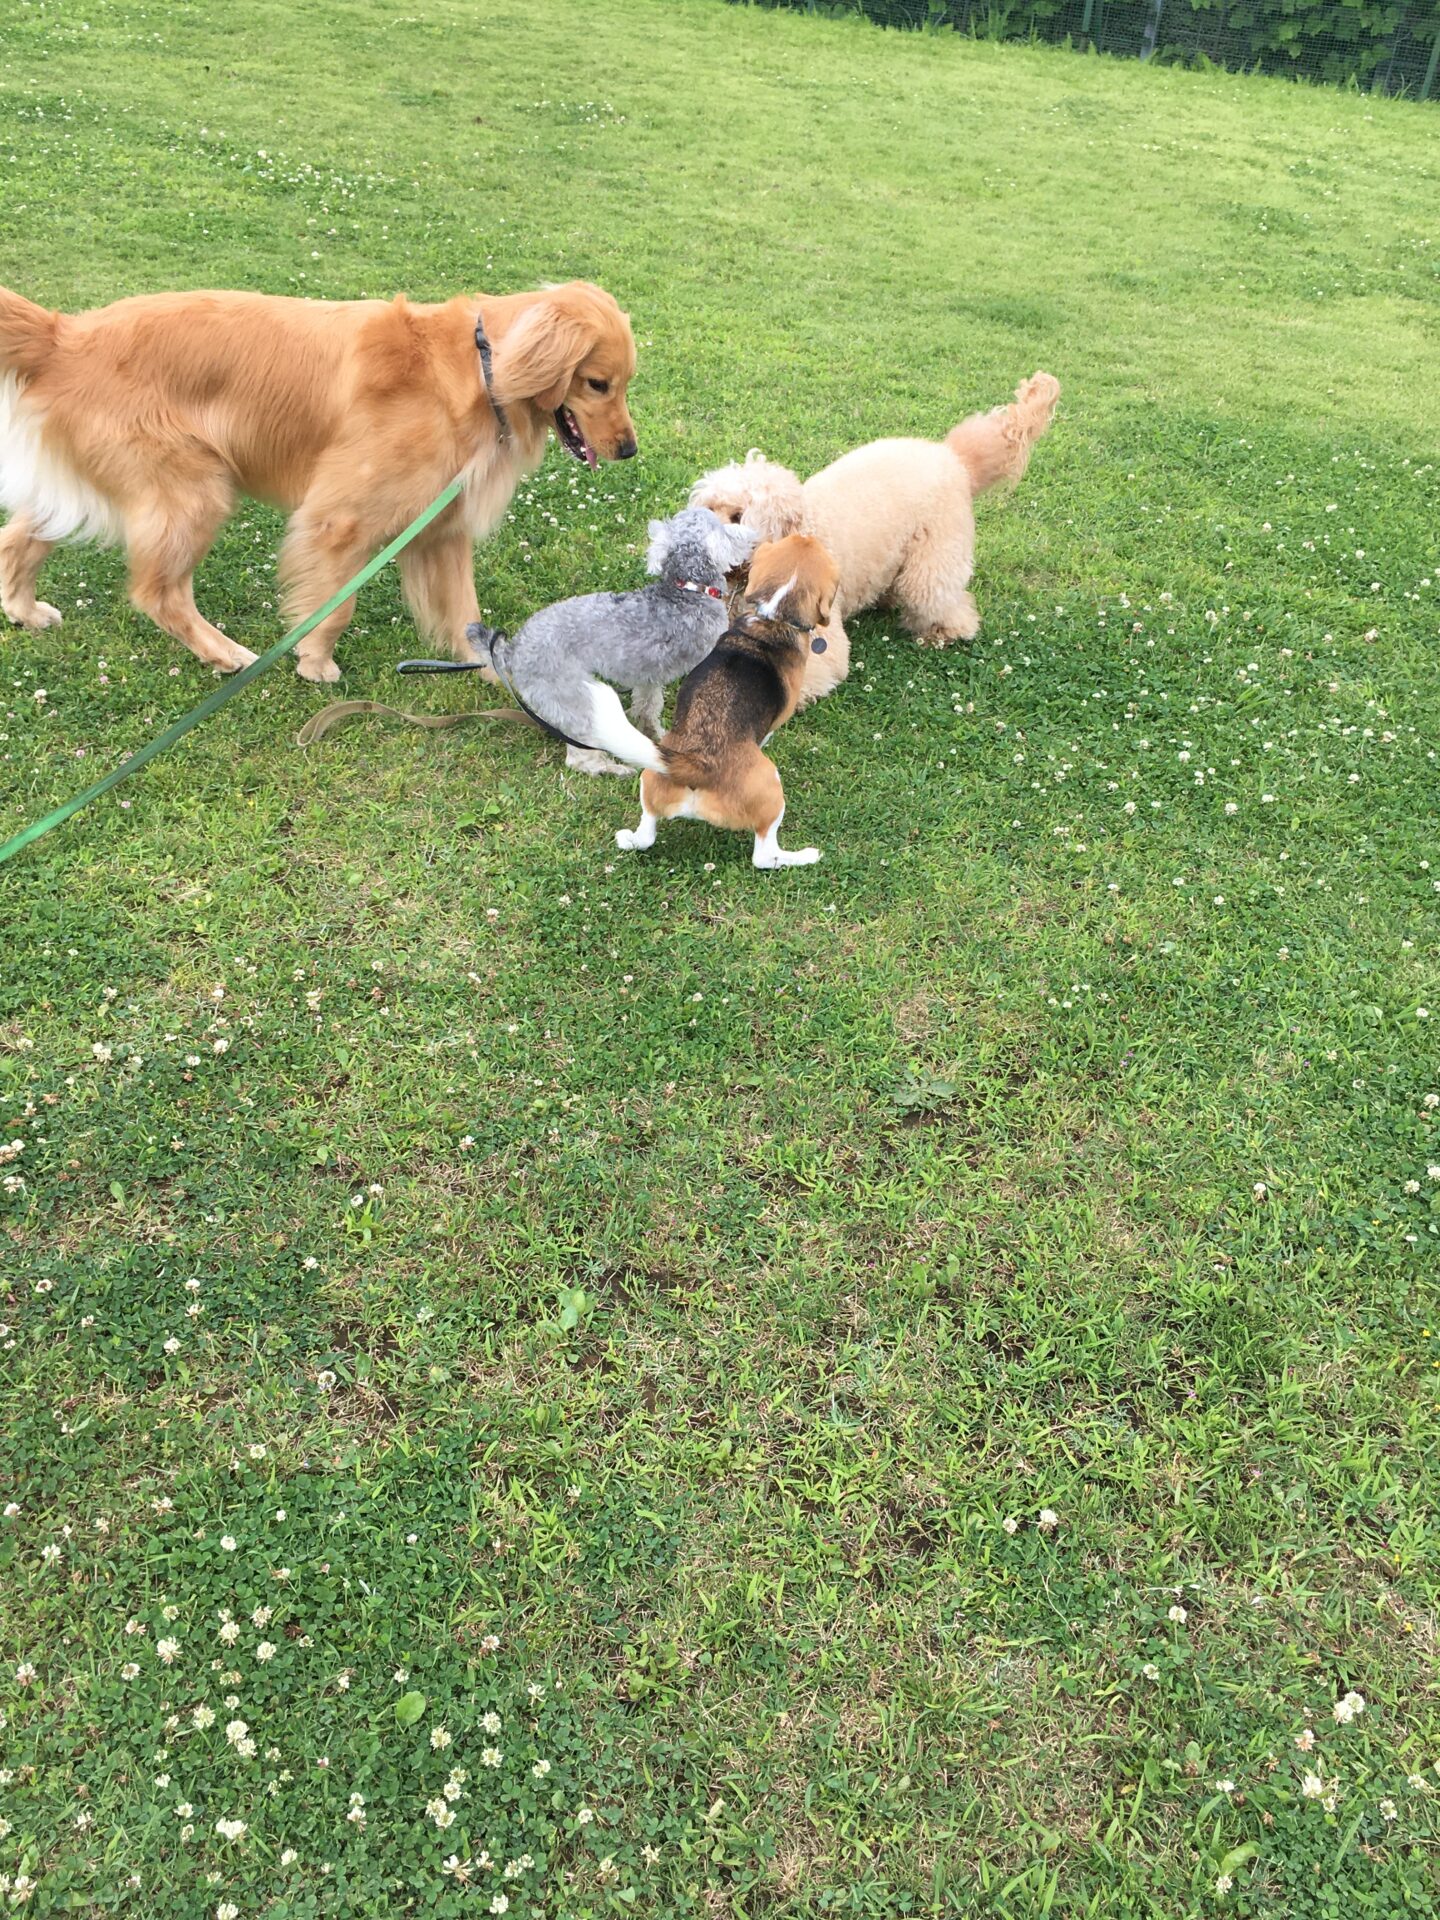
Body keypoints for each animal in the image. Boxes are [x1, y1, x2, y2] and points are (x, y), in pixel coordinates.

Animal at [0, 278, 637, 682]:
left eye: (625, 382)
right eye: (598, 383)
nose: (629, 449)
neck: (480, 370)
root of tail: (64, 335)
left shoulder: (441, 527)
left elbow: (466, 611)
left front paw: (495, 675)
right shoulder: (340, 518)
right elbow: (336, 607)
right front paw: (316, 662)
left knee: (19, 536)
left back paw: (23, 610)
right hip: (196, 489)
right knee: (160, 593)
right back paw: (223, 653)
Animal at [469, 506, 756, 777]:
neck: (688, 588)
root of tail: (512, 650)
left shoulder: (648, 677)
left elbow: (648, 706)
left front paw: (652, 730)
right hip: (573, 701)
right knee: (578, 758)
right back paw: (614, 769)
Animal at [615, 533, 837, 871]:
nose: (808, 534)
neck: (773, 616)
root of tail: (697, 766)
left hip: (651, 776)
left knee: (645, 836)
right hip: (770, 789)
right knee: (763, 855)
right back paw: (803, 856)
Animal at [690, 370, 1060, 702]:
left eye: (738, 516)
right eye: (709, 507)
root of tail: (954, 457)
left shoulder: (819, 640)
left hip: (932, 559)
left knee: (944, 599)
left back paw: (944, 630)